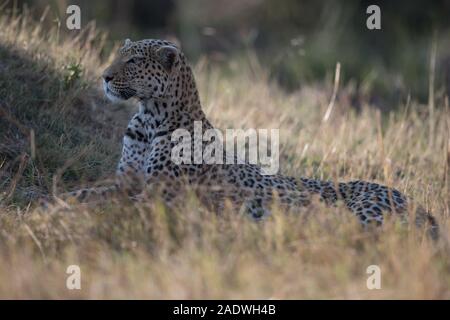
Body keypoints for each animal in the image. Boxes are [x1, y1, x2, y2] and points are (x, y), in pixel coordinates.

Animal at [56, 38, 440, 238]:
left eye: (133, 61)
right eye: (117, 56)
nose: (104, 77)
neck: (149, 116)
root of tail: (423, 208)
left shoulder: (158, 195)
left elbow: (105, 201)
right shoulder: (127, 181)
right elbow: (92, 191)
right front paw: (60, 199)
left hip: (359, 214)